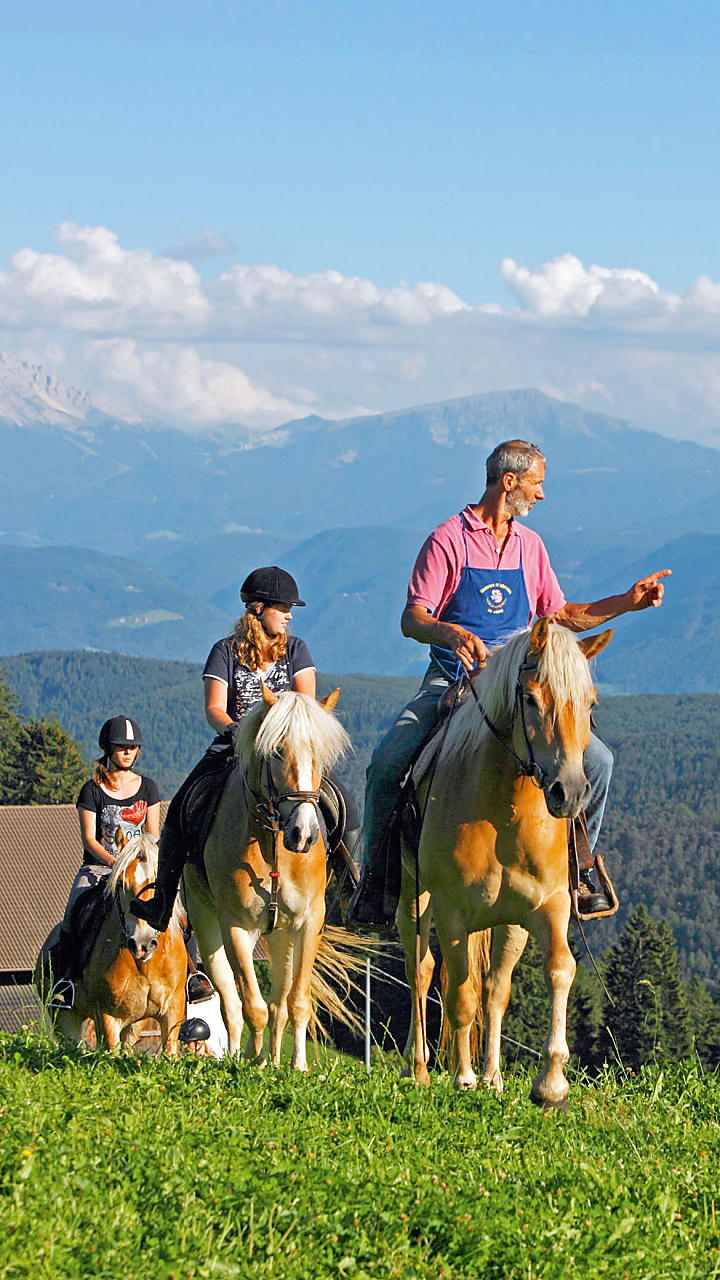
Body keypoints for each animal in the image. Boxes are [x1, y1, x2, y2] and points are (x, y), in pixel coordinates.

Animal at [37, 834, 188, 1054]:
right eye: (121, 883)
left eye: (157, 883)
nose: (141, 944)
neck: (145, 965)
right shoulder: (107, 1017)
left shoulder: (172, 1012)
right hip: (65, 1019)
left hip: (133, 1024)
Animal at [181, 691, 351, 1070]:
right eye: (276, 752)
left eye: (319, 755)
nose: (303, 834)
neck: (272, 843)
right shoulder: (236, 926)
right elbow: (251, 1006)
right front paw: (251, 1061)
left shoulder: (308, 922)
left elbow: (296, 1003)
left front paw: (297, 1066)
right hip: (207, 922)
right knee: (230, 1002)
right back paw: (239, 1055)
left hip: (281, 936)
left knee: (278, 1004)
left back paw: (273, 1059)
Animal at [394, 619, 607, 1111]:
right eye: (530, 698)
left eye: (590, 704)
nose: (569, 792)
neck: (503, 809)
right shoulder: (452, 913)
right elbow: (461, 994)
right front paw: (463, 1077)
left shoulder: (549, 906)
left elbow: (558, 970)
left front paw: (551, 1084)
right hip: (415, 899)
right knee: (422, 971)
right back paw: (421, 1068)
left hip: (509, 922)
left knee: (495, 988)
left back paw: (492, 1076)